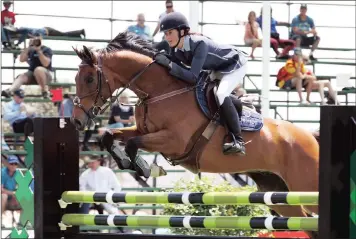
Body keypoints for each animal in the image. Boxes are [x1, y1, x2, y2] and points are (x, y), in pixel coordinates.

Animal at [71, 31, 320, 237]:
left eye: (90, 79)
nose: (76, 120)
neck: (159, 91)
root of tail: (310, 137)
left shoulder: (174, 141)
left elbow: (133, 143)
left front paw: (147, 168)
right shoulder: (143, 130)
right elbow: (109, 135)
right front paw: (128, 162)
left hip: (305, 186)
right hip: (278, 194)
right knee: (307, 223)